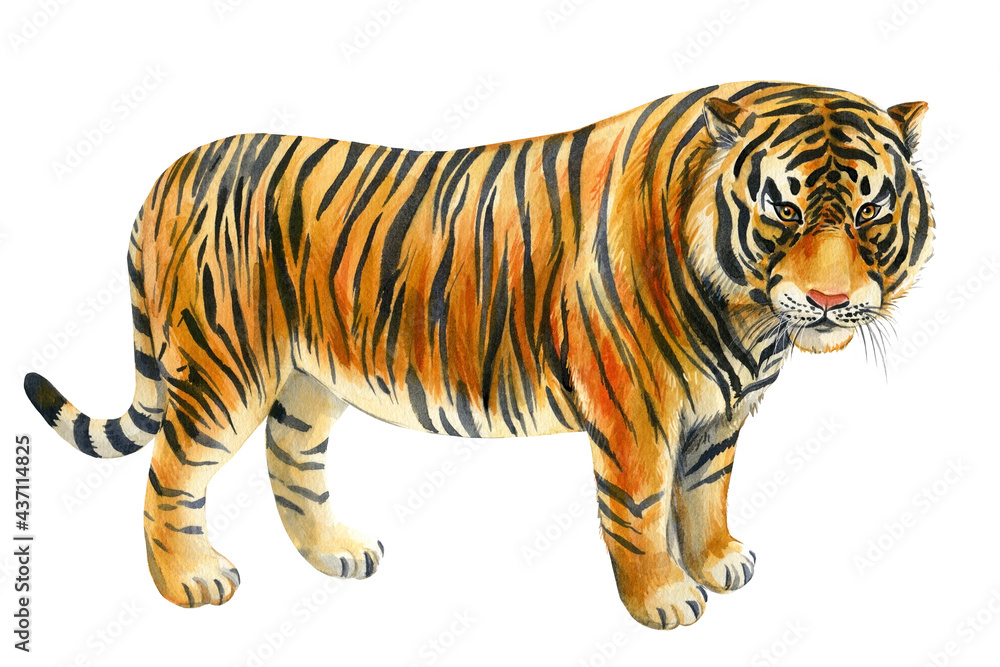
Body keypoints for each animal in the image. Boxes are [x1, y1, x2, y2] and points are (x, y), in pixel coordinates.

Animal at [24, 81, 933, 629]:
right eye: (784, 211)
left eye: (869, 214)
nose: (828, 301)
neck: (748, 319)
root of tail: (173, 170)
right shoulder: (636, 413)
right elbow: (642, 509)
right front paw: (667, 598)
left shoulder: (719, 415)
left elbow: (706, 493)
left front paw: (718, 562)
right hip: (224, 372)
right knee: (169, 473)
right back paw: (189, 581)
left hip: (306, 382)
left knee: (293, 468)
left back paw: (338, 552)